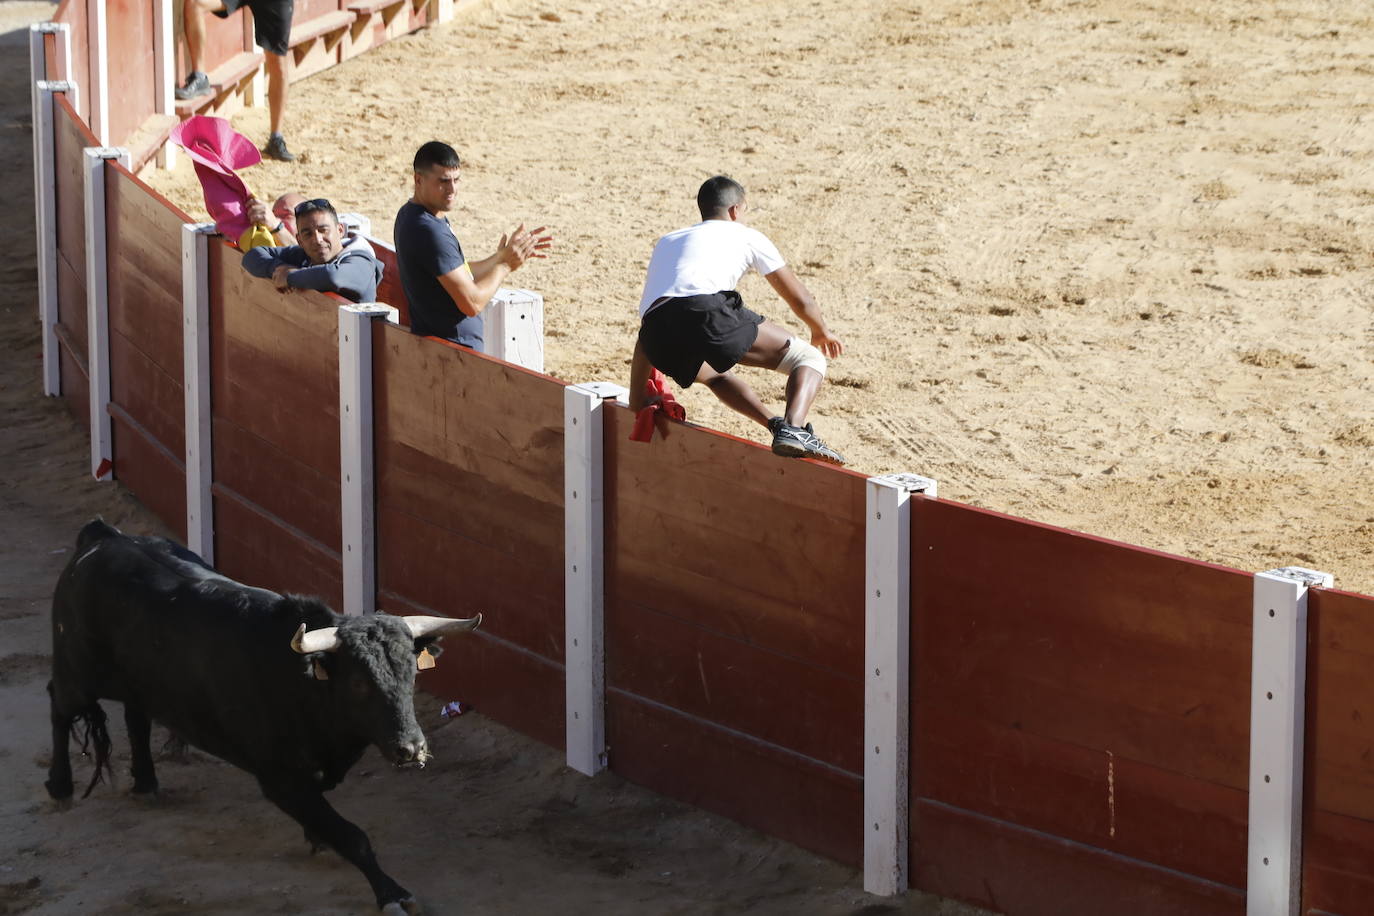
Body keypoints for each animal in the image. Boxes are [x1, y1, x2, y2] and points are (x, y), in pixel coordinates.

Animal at [47, 519, 483, 911]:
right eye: (359, 682)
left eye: (412, 674)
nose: (411, 749)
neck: (303, 684)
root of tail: (104, 536)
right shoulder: (278, 777)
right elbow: (353, 836)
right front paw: (392, 893)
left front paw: (317, 836)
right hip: (76, 674)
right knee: (59, 706)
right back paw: (61, 788)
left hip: (138, 681)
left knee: (136, 717)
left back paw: (145, 784)